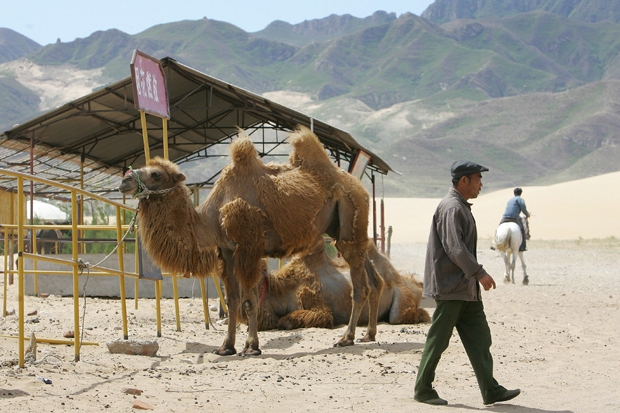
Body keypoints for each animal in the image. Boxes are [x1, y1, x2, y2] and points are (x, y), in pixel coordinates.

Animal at [119, 126, 379, 356]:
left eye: (156, 174)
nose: (124, 181)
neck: (210, 218)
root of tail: (360, 187)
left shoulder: (249, 248)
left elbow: (250, 300)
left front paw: (251, 347)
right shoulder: (227, 252)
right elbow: (233, 300)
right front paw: (226, 347)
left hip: (351, 216)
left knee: (360, 286)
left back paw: (346, 338)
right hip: (348, 232)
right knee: (373, 278)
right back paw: (369, 334)